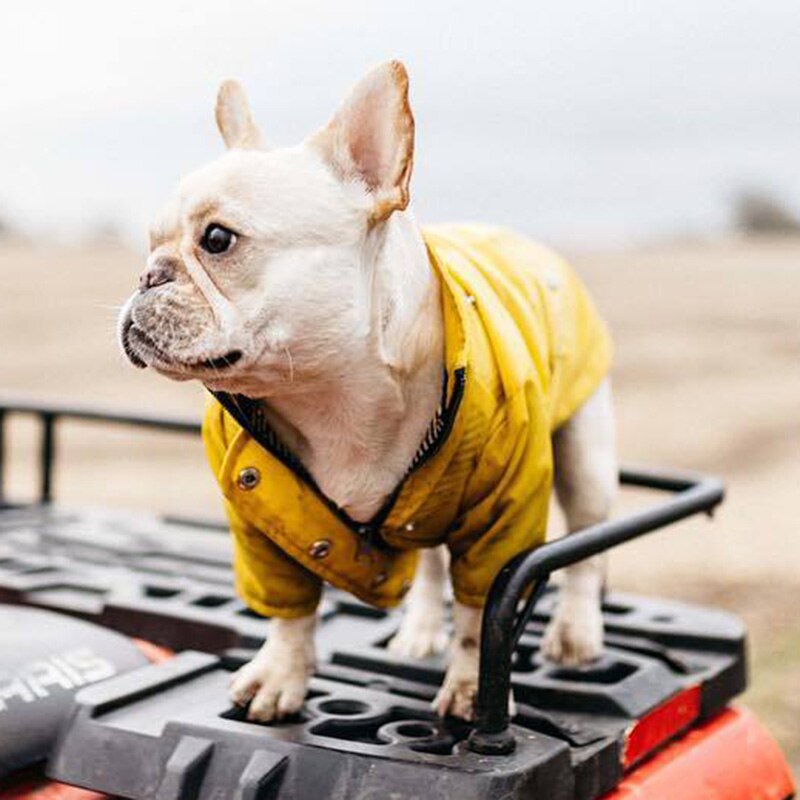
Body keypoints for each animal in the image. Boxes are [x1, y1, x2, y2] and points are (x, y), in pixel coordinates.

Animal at [120, 62, 620, 720]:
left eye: (219, 239)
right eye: (151, 240)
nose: (148, 273)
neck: (329, 392)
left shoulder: (498, 520)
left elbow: (481, 612)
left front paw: (469, 688)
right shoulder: (262, 524)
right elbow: (291, 608)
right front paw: (281, 675)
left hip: (584, 455)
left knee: (586, 548)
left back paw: (576, 634)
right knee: (431, 565)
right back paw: (418, 631)